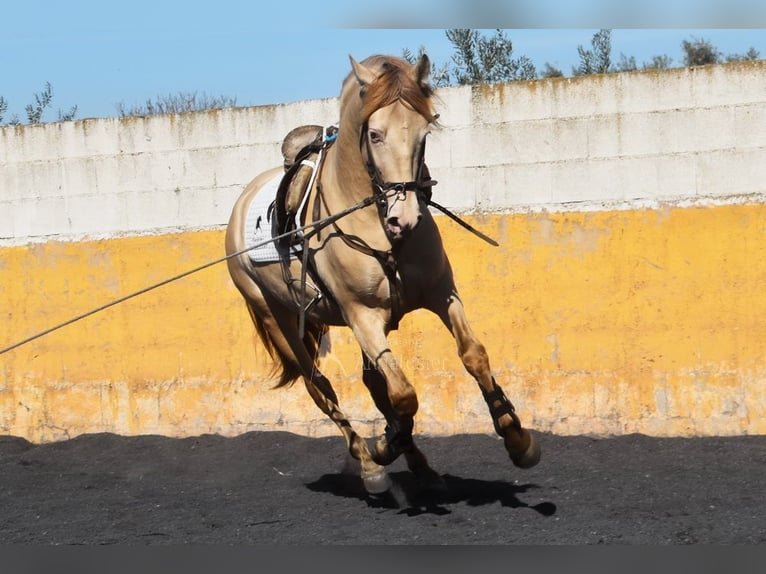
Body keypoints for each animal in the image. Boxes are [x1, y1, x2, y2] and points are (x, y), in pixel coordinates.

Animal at [225, 54, 544, 500]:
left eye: (425, 132)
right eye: (374, 135)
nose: (403, 218)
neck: (377, 226)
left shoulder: (442, 294)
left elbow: (472, 356)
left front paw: (518, 440)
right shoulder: (362, 315)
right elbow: (404, 395)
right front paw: (384, 446)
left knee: (371, 382)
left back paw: (421, 469)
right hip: (281, 320)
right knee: (319, 387)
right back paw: (370, 464)